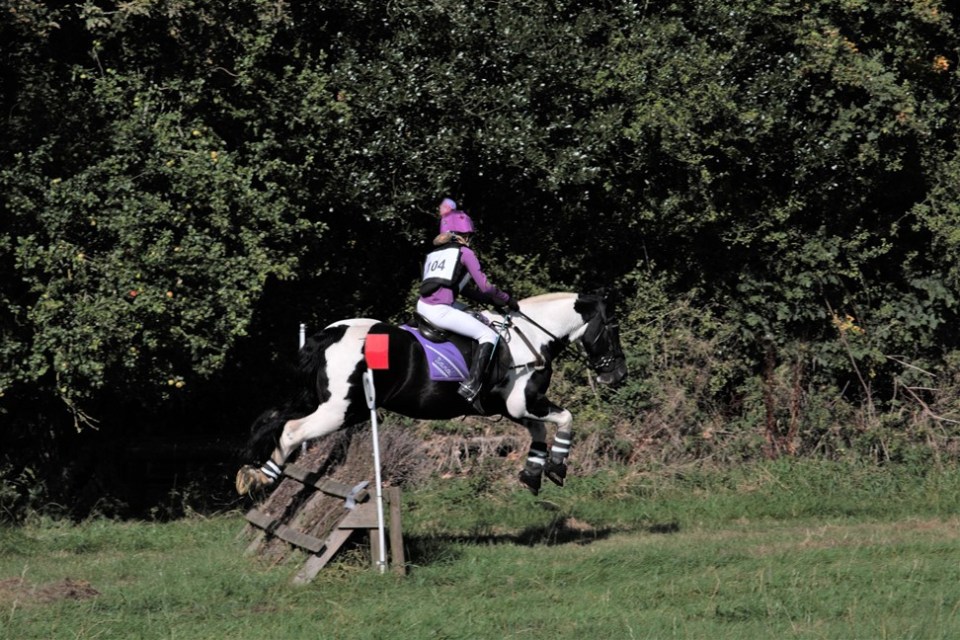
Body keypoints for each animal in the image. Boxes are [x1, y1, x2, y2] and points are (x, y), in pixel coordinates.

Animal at [235, 291, 627, 496]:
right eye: (612, 327)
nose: (619, 375)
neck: (532, 335)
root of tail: (328, 335)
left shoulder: (515, 409)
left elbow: (540, 431)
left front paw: (533, 473)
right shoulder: (525, 402)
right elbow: (566, 418)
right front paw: (557, 468)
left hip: (318, 400)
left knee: (272, 418)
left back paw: (253, 474)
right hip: (340, 410)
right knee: (291, 431)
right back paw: (265, 476)